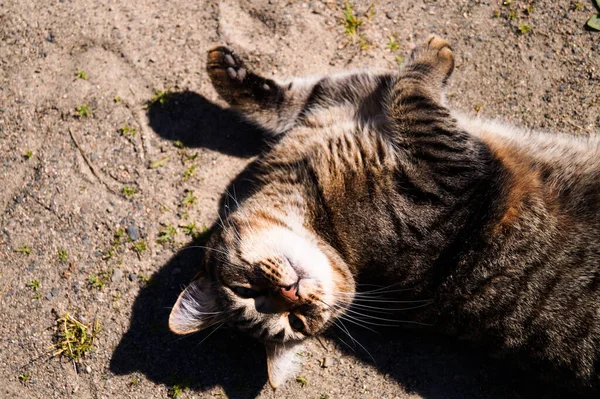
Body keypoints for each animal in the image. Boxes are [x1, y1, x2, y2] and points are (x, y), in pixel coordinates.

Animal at [168, 36, 600, 392]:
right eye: (296, 322)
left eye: (248, 291)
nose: (294, 295)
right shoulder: (444, 175)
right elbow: (412, 95)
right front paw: (433, 56)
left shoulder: (344, 97)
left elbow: (291, 99)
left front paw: (227, 72)